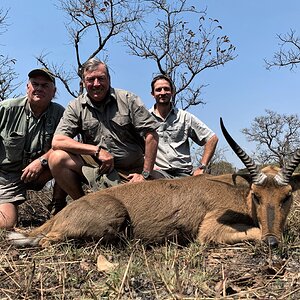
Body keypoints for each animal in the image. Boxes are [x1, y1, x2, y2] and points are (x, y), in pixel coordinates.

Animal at [7, 118, 300, 247]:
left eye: (286, 195)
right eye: (257, 195)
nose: (273, 242)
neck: (238, 193)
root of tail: (64, 213)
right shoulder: (209, 230)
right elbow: (253, 232)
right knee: (46, 240)